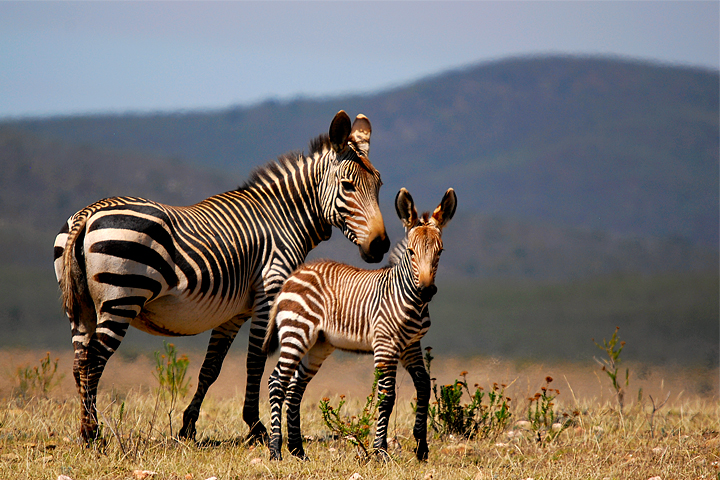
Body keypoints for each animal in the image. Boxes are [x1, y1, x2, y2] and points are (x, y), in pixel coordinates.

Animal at [53, 110, 390, 444]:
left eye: (379, 185)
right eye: (347, 186)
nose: (380, 245)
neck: (285, 218)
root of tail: (88, 214)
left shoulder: (234, 312)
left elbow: (211, 367)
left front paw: (188, 426)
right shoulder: (269, 294)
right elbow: (255, 362)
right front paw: (256, 427)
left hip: (81, 307)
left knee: (79, 361)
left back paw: (86, 430)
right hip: (122, 297)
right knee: (94, 360)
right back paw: (93, 433)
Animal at [262, 187, 456, 462]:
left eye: (440, 252)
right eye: (411, 252)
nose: (427, 291)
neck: (408, 298)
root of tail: (294, 275)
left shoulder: (411, 346)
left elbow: (423, 385)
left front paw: (421, 447)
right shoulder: (386, 345)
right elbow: (387, 395)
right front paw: (380, 450)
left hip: (319, 344)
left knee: (295, 387)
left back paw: (298, 450)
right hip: (296, 333)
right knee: (277, 382)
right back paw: (276, 451)